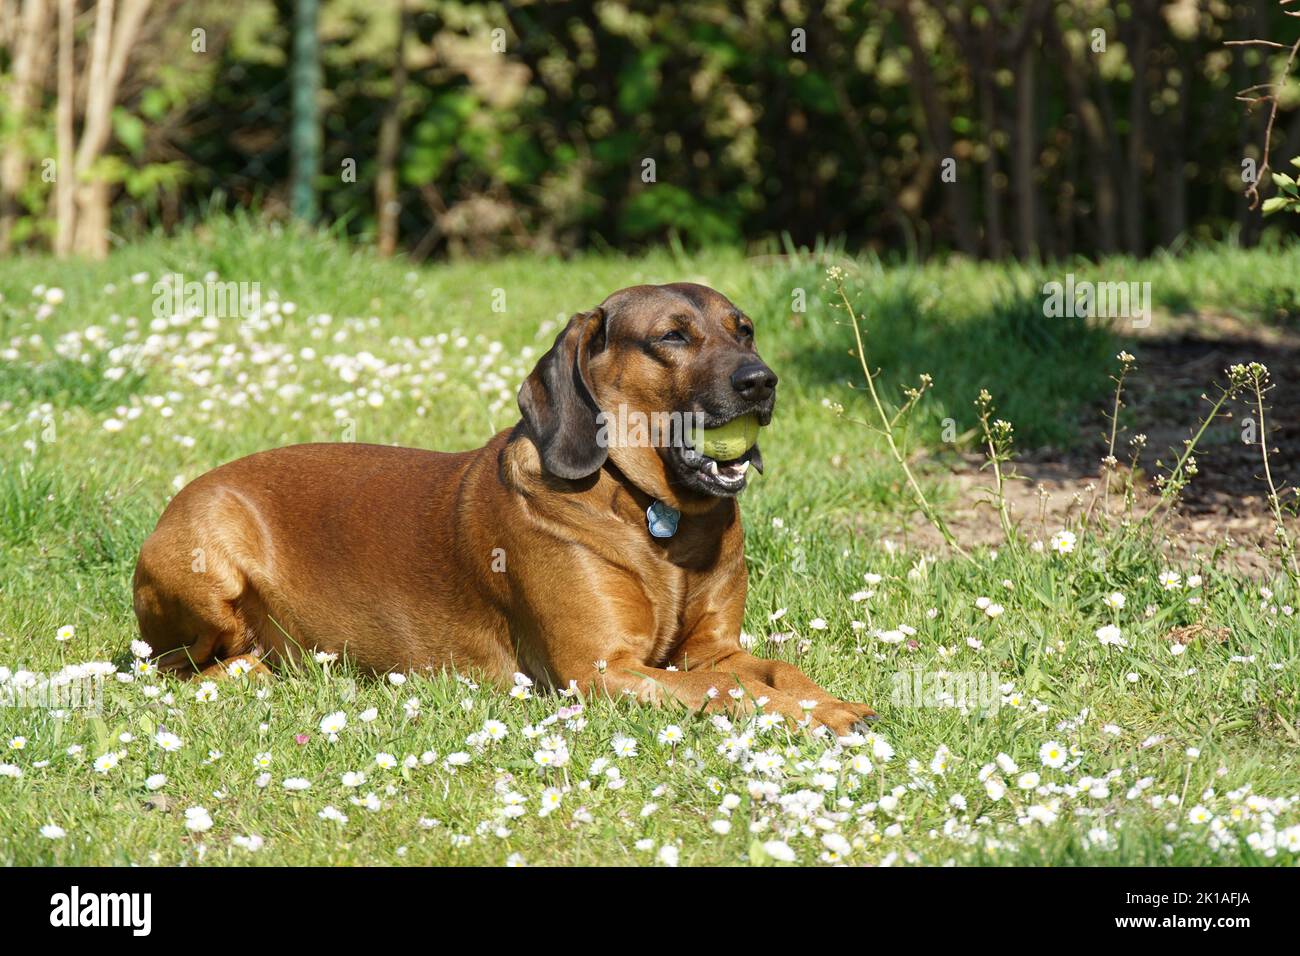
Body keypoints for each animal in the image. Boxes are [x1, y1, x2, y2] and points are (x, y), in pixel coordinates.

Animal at [131, 282, 878, 733]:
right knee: (179, 665)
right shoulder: (598, 670)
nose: (762, 381)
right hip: (206, 562)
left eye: (743, 330)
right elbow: (733, 691)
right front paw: (817, 716)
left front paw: (830, 703)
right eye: (672, 336)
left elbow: (775, 670)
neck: (653, 511)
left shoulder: (713, 649)